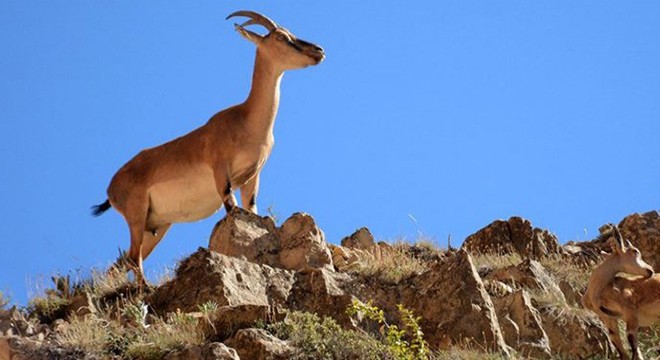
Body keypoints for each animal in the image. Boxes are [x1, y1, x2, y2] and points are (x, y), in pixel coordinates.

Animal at [91, 10, 324, 284]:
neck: (246, 121)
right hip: (136, 216)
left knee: (123, 261)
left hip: (156, 226)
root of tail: (111, 189)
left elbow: (251, 208)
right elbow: (231, 207)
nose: (318, 50)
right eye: (281, 37)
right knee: (134, 259)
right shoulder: (220, 170)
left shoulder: (252, 176)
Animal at [580, 225, 656, 360]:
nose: (650, 270)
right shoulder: (608, 317)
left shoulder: (630, 312)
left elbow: (634, 346)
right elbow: (618, 343)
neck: (596, 293)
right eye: (634, 251)